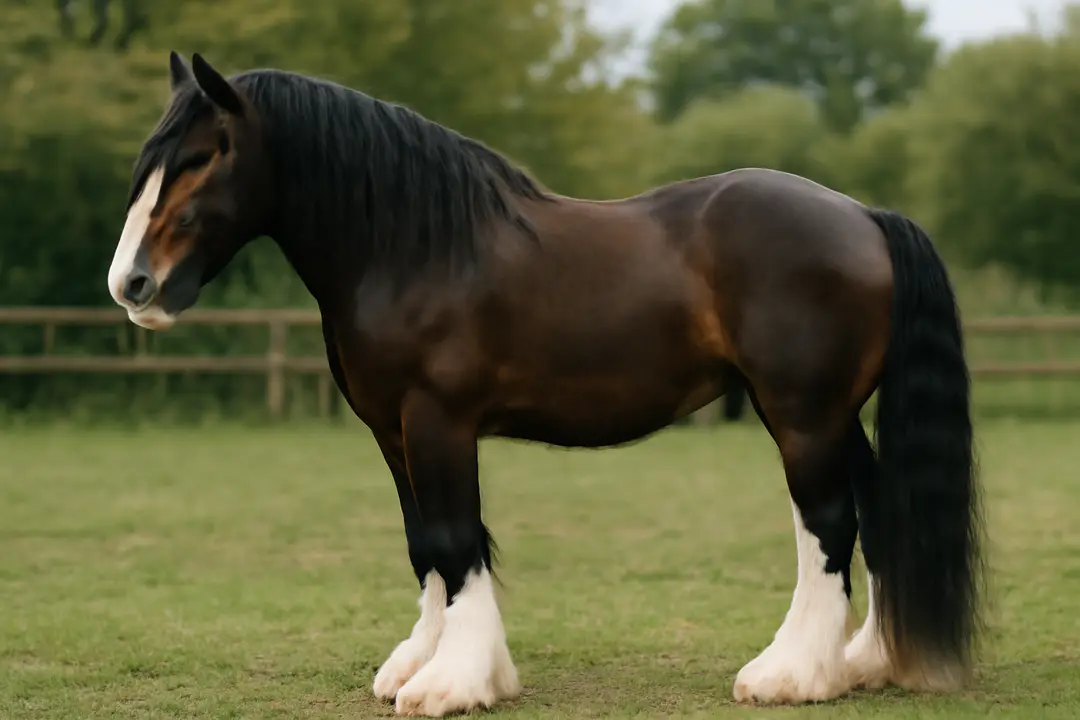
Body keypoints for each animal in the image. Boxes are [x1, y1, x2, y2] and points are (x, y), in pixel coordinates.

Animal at [107, 52, 983, 717]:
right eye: (153, 157)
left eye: (202, 155)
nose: (132, 284)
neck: (414, 249)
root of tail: (864, 217)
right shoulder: (391, 431)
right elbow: (424, 544)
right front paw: (420, 662)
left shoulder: (438, 422)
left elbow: (456, 541)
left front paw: (456, 683)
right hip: (835, 416)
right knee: (876, 509)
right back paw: (866, 660)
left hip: (803, 415)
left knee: (828, 525)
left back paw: (792, 674)